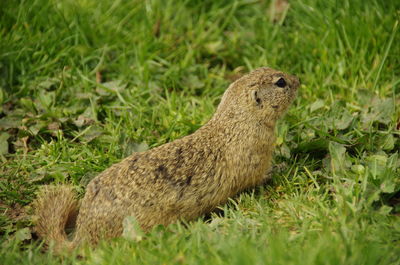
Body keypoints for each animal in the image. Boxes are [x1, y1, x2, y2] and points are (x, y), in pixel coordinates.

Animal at [32, 67, 300, 251]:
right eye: (280, 82)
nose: (299, 80)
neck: (239, 121)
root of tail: (84, 234)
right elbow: (257, 177)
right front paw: (281, 168)